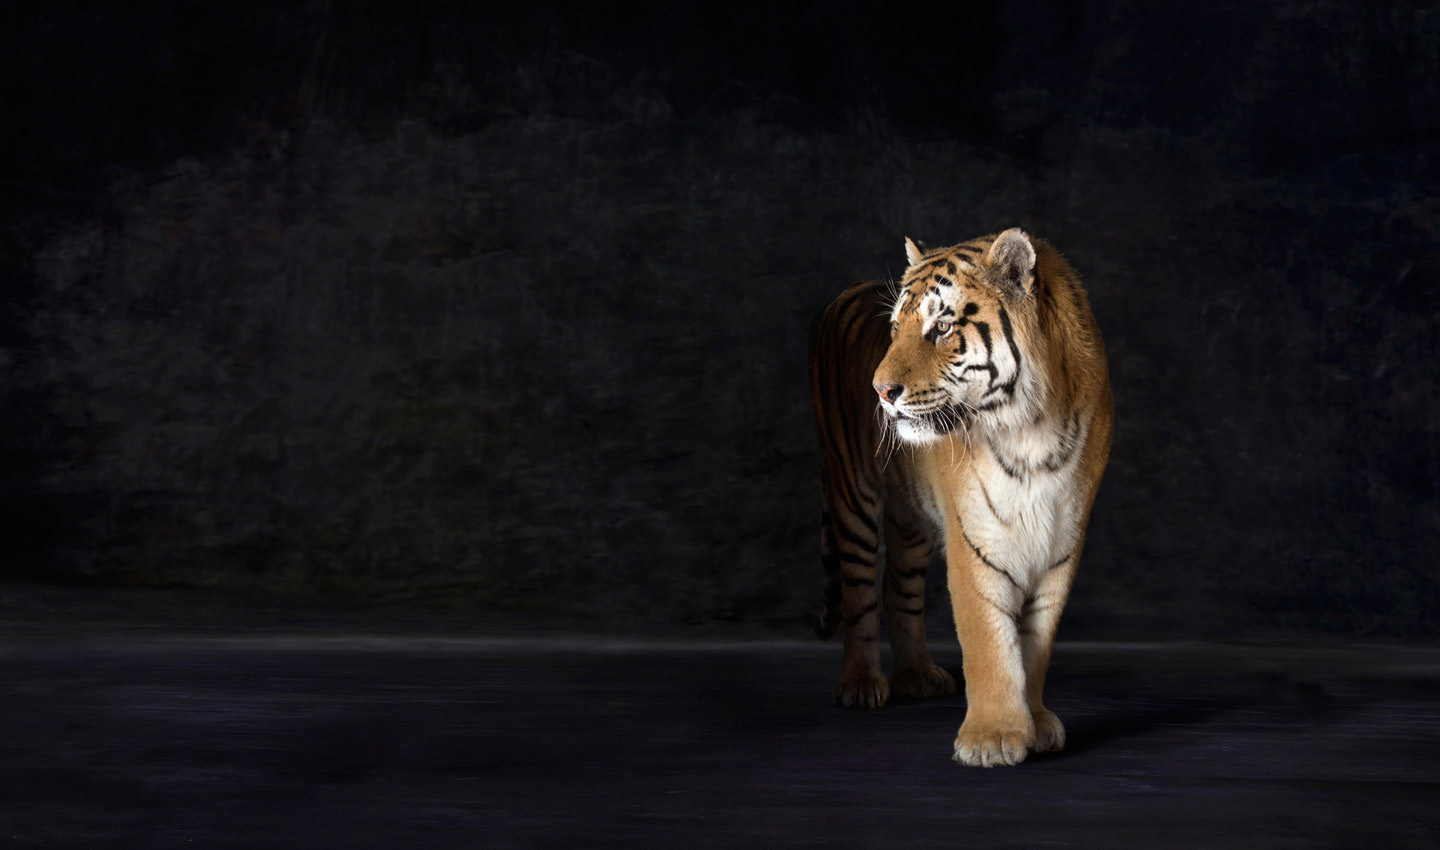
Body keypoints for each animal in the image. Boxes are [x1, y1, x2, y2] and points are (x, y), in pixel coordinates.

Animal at [808, 228, 1113, 767]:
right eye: (896, 329)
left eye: (943, 326)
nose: (880, 391)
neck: (1030, 429)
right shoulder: (975, 536)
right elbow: (988, 640)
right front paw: (992, 737)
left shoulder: (1061, 543)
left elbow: (1036, 643)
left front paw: (1034, 723)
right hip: (851, 492)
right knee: (859, 591)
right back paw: (862, 684)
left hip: (909, 520)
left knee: (898, 588)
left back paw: (917, 676)